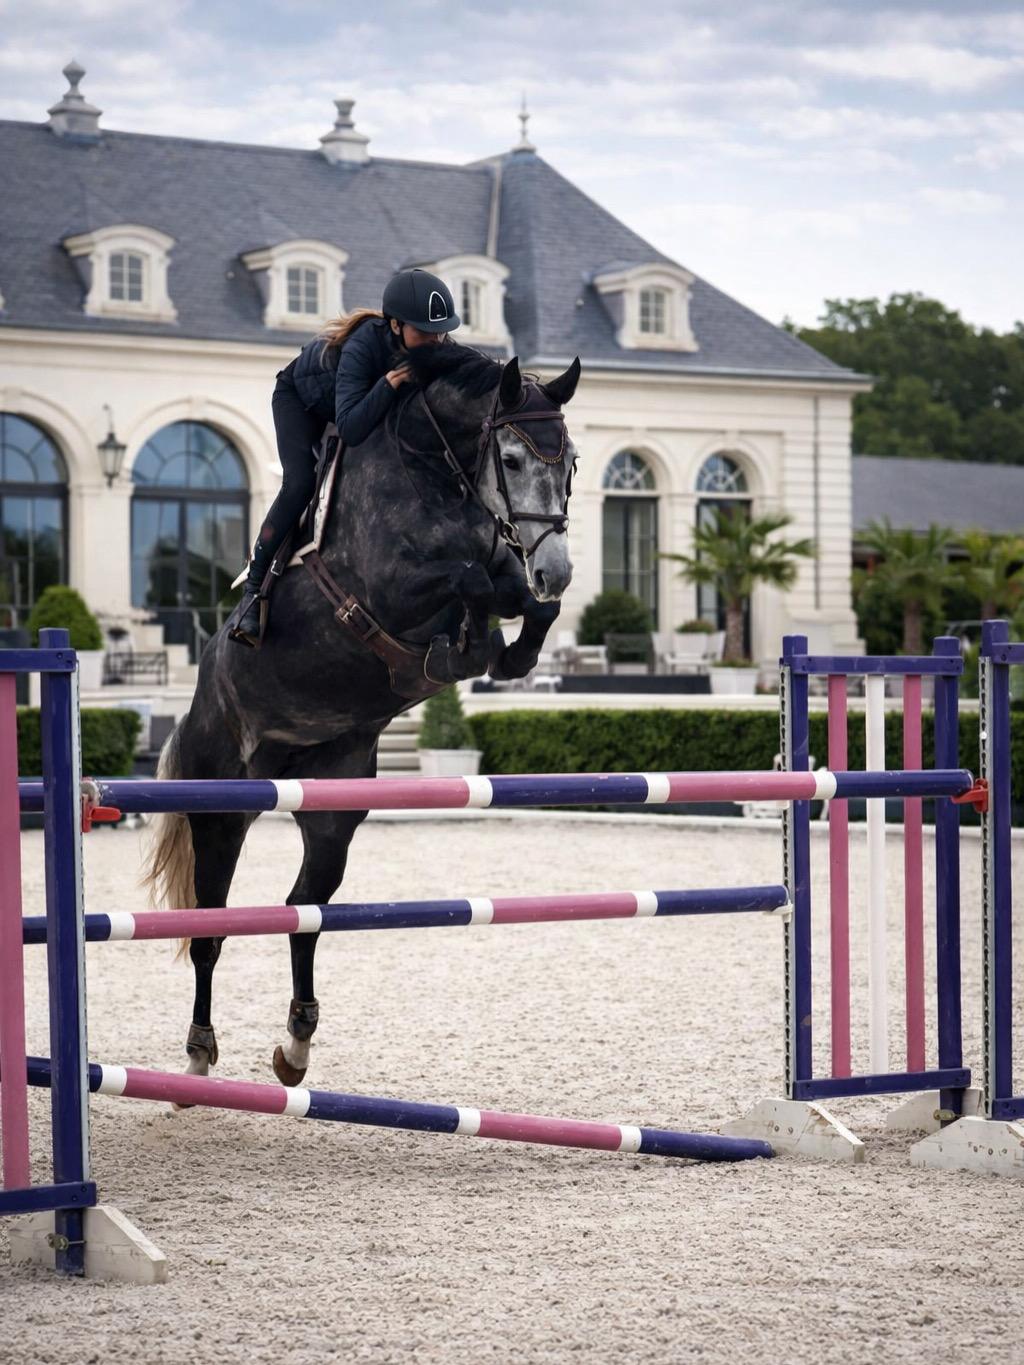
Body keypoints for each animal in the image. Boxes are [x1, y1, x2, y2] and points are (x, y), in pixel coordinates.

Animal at [142, 342, 580, 1086]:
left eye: (572, 461)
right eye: (513, 460)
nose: (559, 568)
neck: (435, 468)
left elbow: (518, 602)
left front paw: (501, 647)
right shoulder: (390, 585)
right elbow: (470, 577)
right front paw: (466, 642)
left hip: (332, 811)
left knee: (303, 911)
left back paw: (295, 1046)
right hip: (220, 810)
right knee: (210, 928)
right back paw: (199, 1053)